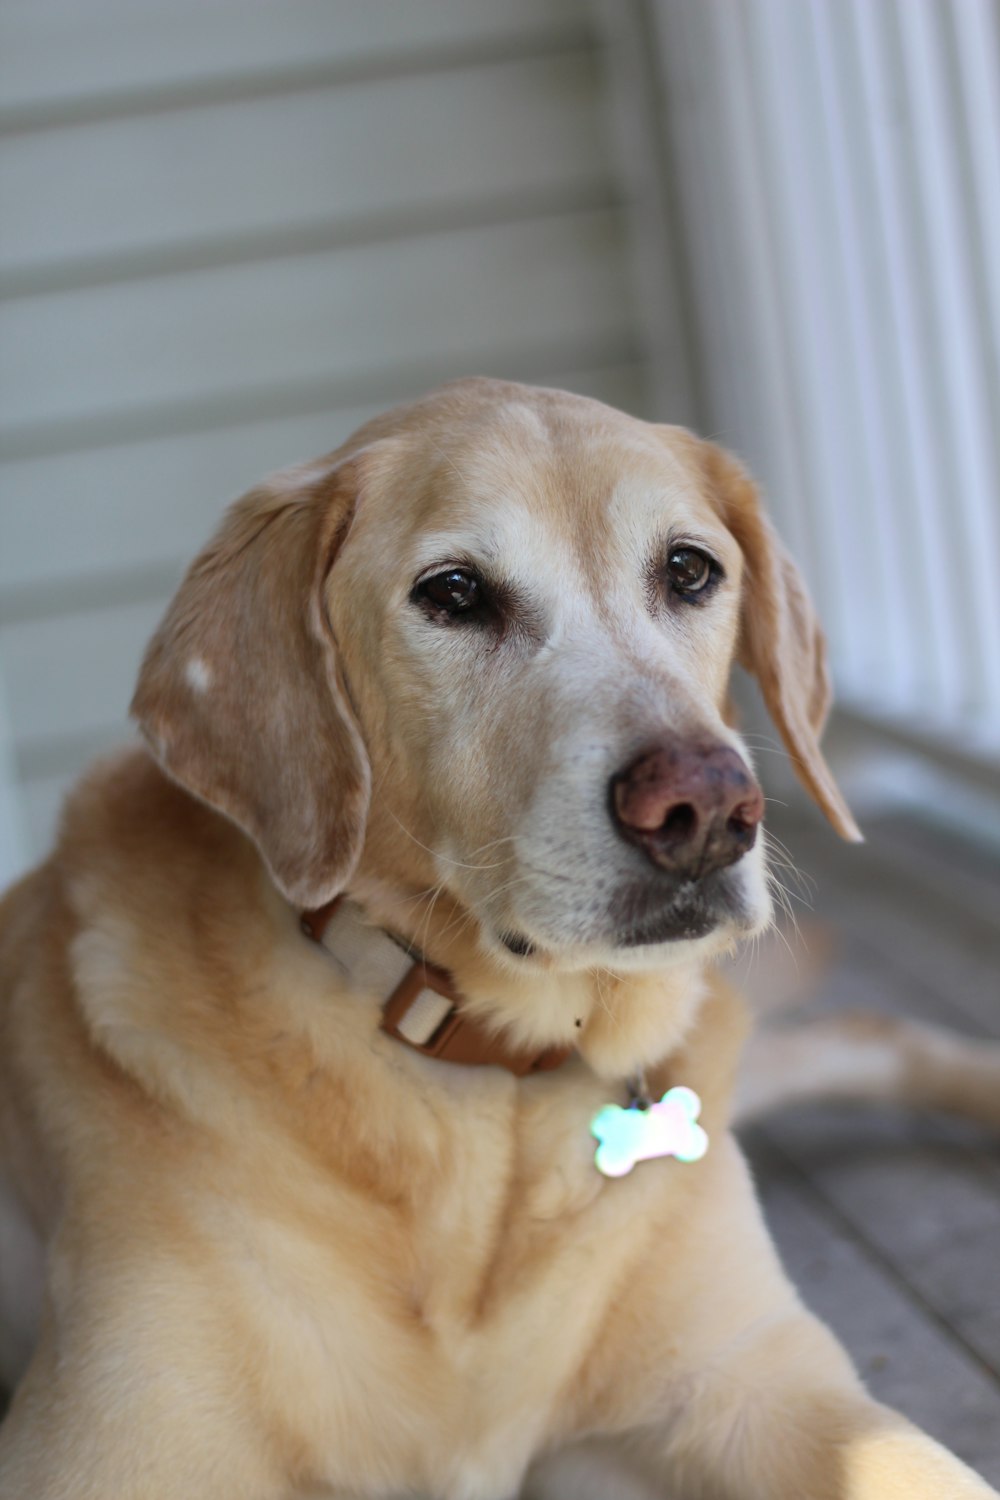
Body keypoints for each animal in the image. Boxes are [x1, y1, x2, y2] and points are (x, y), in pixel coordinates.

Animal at [1, 384, 1000, 1500]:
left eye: (689, 570)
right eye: (453, 594)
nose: (704, 809)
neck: (497, 1081)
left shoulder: (762, 1382)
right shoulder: (110, 1448)